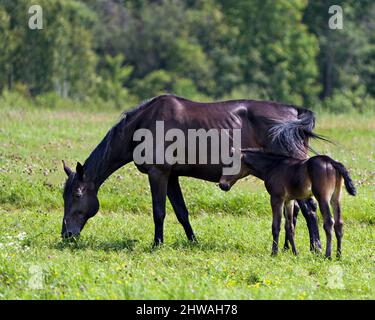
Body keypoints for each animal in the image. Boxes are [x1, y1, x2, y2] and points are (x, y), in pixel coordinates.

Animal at [62, 94, 324, 249]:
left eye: (77, 194)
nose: (66, 234)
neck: (143, 124)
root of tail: (295, 113)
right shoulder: (172, 176)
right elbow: (181, 212)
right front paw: (193, 241)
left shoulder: (158, 174)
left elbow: (159, 212)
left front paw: (157, 244)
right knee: (296, 211)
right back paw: (290, 248)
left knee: (309, 209)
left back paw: (316, 248)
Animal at [220, 149, 358, 258]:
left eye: (231, 164)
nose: (222, 184)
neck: (272, 167)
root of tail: (331, 162)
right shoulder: (289, 200)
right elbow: (290, 226)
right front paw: (295, 253)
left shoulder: (277, 198)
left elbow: (276, 226)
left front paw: (274, 253)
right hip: (336, 197)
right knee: (339, 223)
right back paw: (339, 255)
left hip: (322, 197)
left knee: (329, 222)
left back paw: (328, 255)